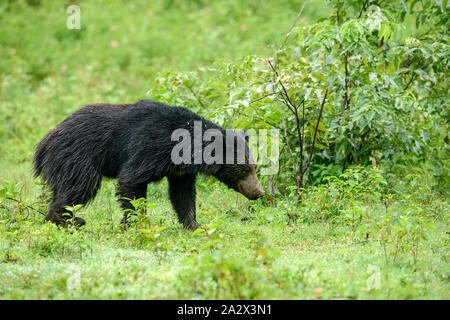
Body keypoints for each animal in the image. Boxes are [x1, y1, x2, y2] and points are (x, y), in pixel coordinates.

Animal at [33, 99, 264, 229]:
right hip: (77, 158)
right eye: (245, 168)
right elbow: (131, 181)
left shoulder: (180, 171)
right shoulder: (150, 147)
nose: (259, 192)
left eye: (254, 166)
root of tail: (43, 143)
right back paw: (67, 220)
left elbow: (183, 195)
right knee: (79, 189)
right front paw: (137, 223)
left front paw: (195, 225)